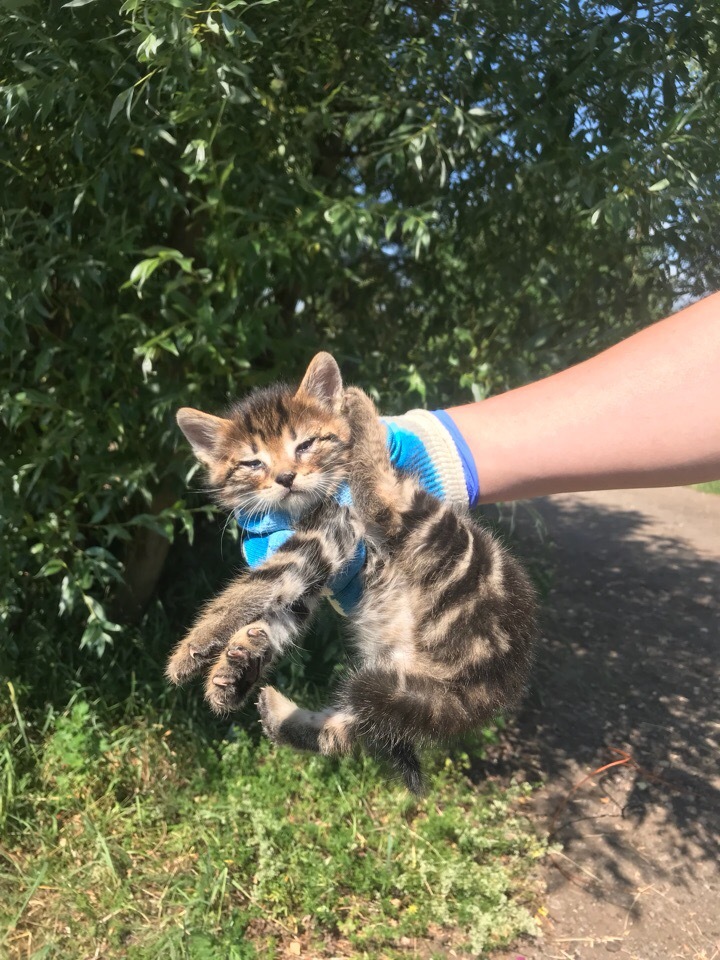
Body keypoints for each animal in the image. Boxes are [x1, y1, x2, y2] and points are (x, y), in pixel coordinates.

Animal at [167, 356, 536, 792]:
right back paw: (281, 716)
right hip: (398, 690)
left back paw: (361, 412)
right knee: (348, 732)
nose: (286, 478)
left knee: (384, 501)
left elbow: (261, 583)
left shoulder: (332, 531)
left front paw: (193, 646)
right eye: (253, 462)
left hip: (443, 541)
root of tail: (483, 689)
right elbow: (282, 608)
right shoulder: (319, 570)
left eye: (305, 445)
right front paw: (235, 664)